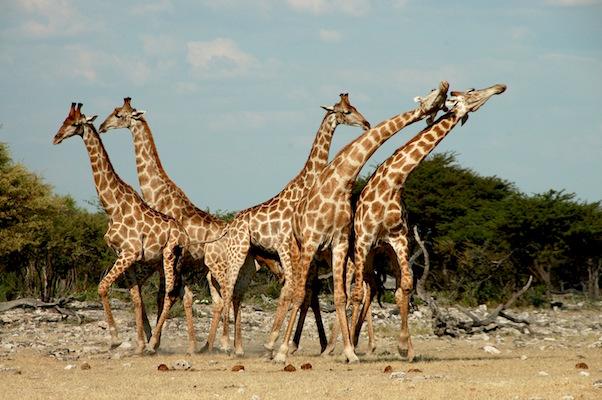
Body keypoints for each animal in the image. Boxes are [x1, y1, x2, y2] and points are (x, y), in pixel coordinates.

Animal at [55, 102, 190, 354]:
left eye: (75, 123)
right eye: (63, 121)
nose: (56, 138)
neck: (112, 206)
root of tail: (185, 235)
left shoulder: (129, 253)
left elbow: (102, 287)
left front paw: (116, 338)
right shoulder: (124, 255)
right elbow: (135, 297)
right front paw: (137, 344)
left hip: (169, 255)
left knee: (170, 294)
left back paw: (155, 344)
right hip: (169, 261)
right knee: (179, 294)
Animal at [99, 98, 284, 354]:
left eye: (119, 115)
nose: (102, 126)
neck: (159, 195)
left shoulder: (166, 258)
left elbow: (168, 295)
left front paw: (157, 342)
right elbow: (166, 294)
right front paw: (160, 339)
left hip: (219, 267)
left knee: (226, 297)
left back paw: (224, 345)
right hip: (225, 270)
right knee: (229, 298)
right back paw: (218, 345)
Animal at [221, 94, 370, 356]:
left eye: (354, 107)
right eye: (346, 111)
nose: (366, 123)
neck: (307, 183)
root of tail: (232, 223)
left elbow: (301, 293)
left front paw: (285, 344)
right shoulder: (288, 246)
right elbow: (292, 291)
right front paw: (278, 344)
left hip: (250, 259)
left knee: (237, 292)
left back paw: (238, 347)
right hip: (237, 252)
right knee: (229, 288)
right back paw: (225, 344)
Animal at [272, 80, 450, 362]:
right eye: (346, 111)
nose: (366, 123)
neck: (338, 184)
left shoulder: (344, 243)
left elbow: (342, 296)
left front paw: (349, 350)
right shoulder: (315, 243)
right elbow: (304, 294)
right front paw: (283, 351)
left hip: (366, 255)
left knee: (371, 288)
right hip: (301, 250)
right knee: (297, 290)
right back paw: (281, 345)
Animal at [346, 83, 506, 360]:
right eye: (472, 92)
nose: (500, 87)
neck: (392, 185)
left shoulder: (399, 240)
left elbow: (405, 288)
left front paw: (405, 347)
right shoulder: (364, 239)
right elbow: (357, 294)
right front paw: (350, 350)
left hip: (381, 253)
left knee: (376, 289)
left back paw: (368, 343)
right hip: (360, 253)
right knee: (360, 290)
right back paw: (349, 344)